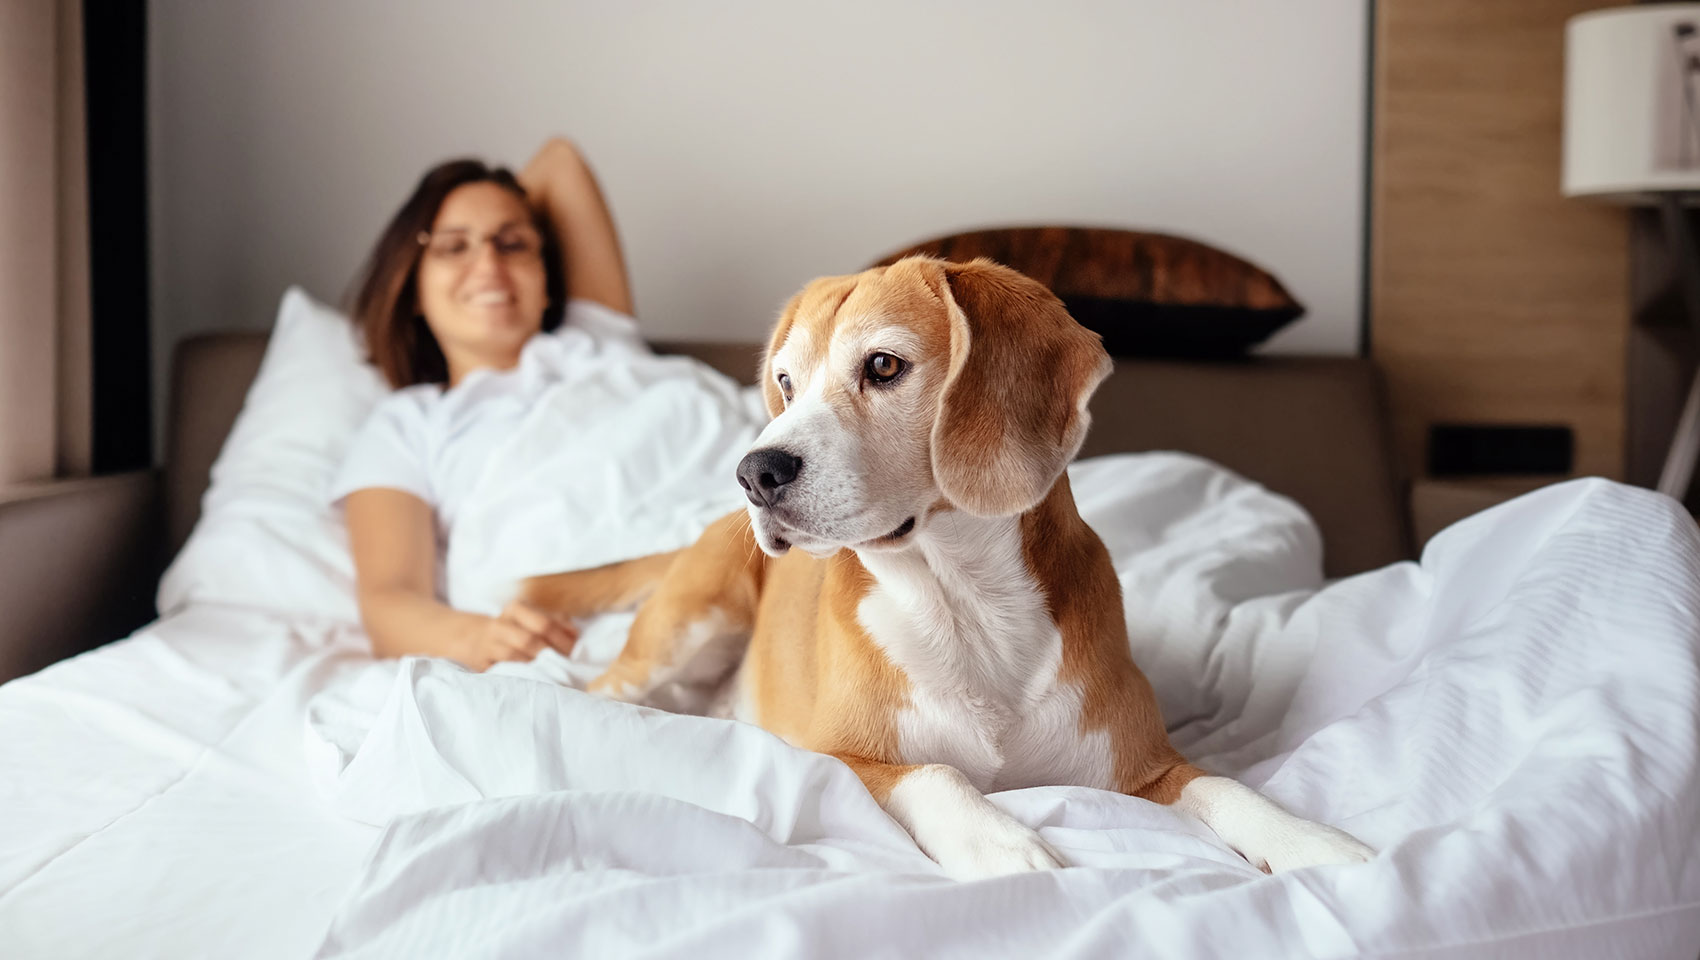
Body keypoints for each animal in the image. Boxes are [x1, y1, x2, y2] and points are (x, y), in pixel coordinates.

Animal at [523, 256, 1373, 883]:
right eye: (787, 384)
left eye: (883, 366)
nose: (754, 473)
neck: (963, 600)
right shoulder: (838, 757)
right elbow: (936, 774)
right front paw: (999, 842)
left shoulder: (1147, 769)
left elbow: (1226, 784)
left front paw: (1310, 841)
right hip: (685, 628)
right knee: (599, 688)